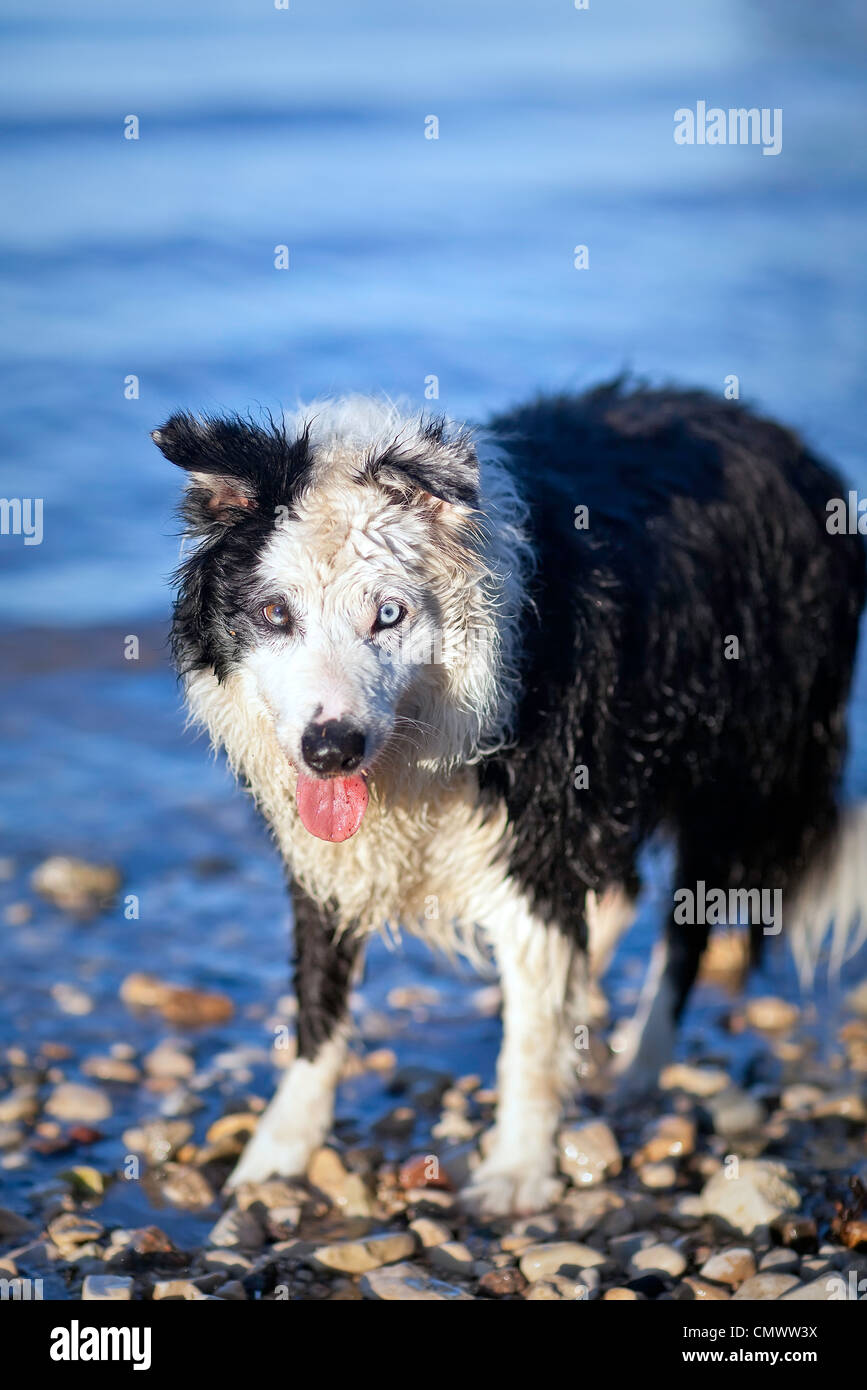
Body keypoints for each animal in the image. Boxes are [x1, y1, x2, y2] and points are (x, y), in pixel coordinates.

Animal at [155, 386, 867, 1212]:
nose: (330, 750)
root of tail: (788, 443)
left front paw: (518, 1171)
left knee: (685, 930)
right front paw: (277, 1155)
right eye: (275, 614)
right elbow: (318, 1008)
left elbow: (528, 1036)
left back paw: (639, 1068)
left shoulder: (542, 820)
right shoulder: (332, 858)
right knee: (620, 892)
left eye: (388, 614)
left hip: (736, 773)